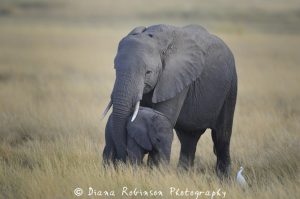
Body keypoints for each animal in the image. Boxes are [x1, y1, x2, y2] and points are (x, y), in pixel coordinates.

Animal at [102, 24, 238, 178]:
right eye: (115, 68)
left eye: (148, 72)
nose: (121, 161)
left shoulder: (175, 76)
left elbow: (164, 116)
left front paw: (154, 174)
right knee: (188, 139)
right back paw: (184, 176)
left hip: (230, 87)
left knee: (221, 137)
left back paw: (224, 179)